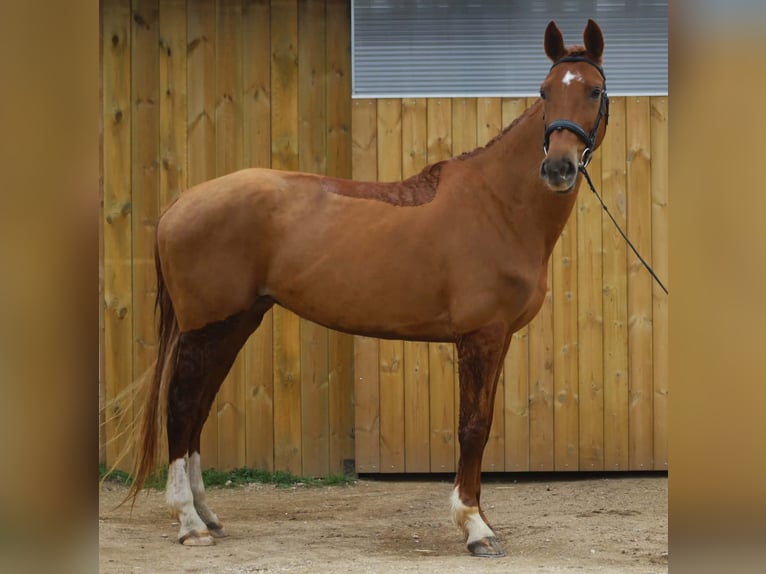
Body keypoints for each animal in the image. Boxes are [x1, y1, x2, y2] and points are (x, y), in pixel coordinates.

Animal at [127, 19, 610, 558]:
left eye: (593, 89)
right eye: (545, 91)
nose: (558, 168)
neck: (498, 204)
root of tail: (178, 204)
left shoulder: (498, 338)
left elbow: (480, 425)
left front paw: (481, 519)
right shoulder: (480, 336)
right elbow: (473, 427)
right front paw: (474, 527)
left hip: (234, 324)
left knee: (198, 408)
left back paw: (208, 516)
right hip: (207, 327)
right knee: (182, 406)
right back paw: (189, 522)